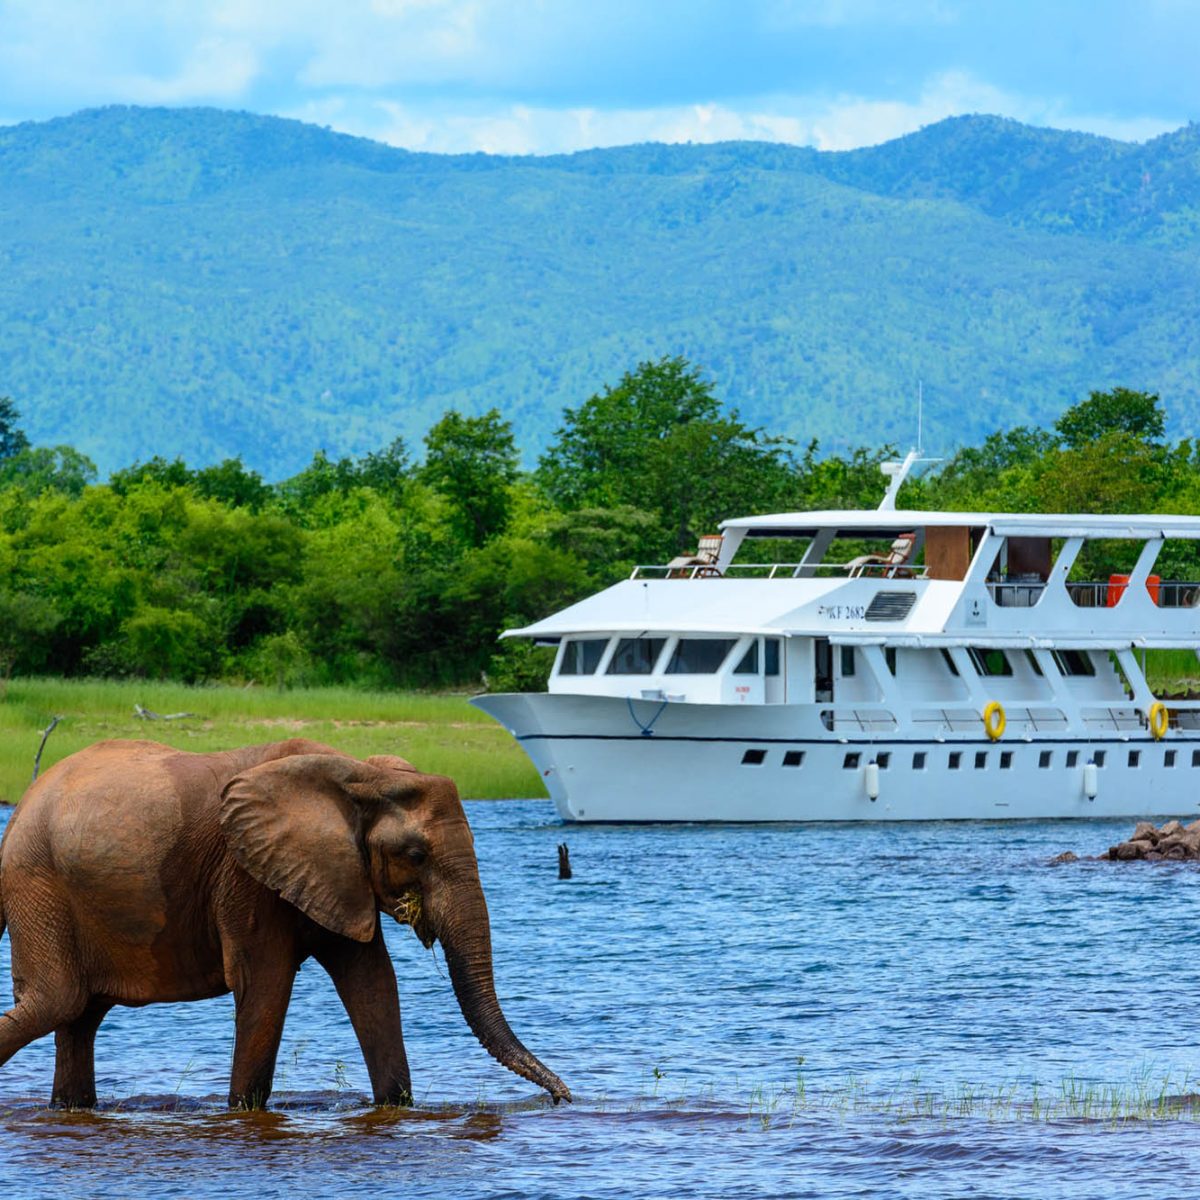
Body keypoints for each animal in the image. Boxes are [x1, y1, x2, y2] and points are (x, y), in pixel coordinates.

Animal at [0, 734, 568, 1108]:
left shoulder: (338, 874)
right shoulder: (246, 873)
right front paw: (243, 1111)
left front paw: (396, 1107)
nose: (563, 1096)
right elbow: (266, 984)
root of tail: (21, 805)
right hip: (37, 883)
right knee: (58, 1001)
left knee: (80, 1016)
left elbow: (372, 982)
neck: (359, 773)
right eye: (415, 855)